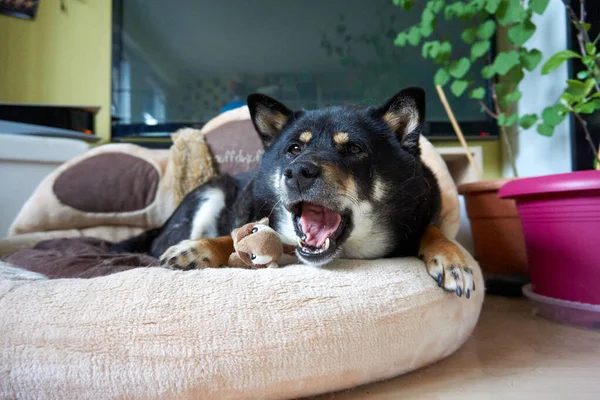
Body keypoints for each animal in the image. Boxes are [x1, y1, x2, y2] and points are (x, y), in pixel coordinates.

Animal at [113, 88, 474, 300]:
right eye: (294, 149)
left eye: (354, 149)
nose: (298, 172)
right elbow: (233, 237)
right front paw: (198, 249)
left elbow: (433, 229)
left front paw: (452, 257)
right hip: (210, 193)